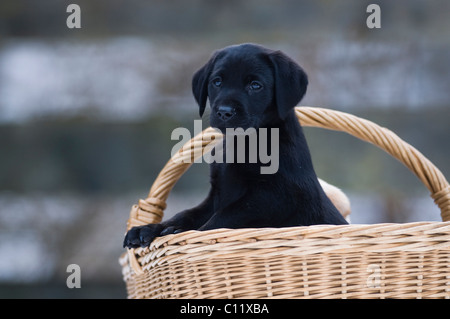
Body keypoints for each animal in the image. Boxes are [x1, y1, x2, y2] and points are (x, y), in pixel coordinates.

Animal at [124, 42, 348, 249]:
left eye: (255, 85)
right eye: (217, 82)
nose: (224, 112)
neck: (243, 141)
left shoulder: (270, 197)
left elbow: (219, 220)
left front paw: (187, 234)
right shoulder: (217, 195)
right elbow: (187, 213)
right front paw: (150, 228)